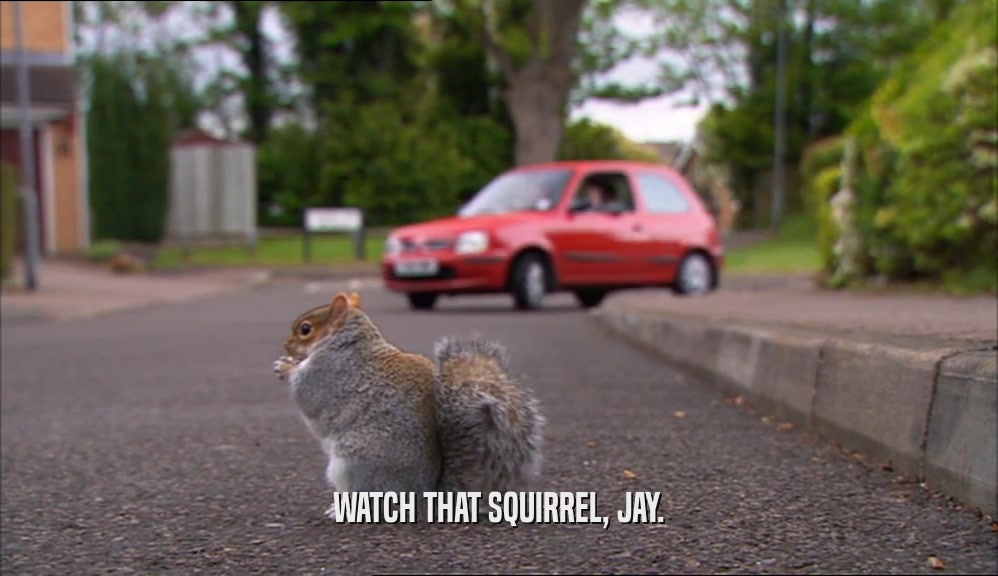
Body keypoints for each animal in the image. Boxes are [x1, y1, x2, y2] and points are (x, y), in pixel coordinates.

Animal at [273, 291, 544, 521]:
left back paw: (340, 511)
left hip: (352, 465)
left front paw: (286, 366)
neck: (348, 341)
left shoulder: (329, 371)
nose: (285, 346)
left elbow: (307, 392)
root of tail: (421, 500)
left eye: (305, 329)